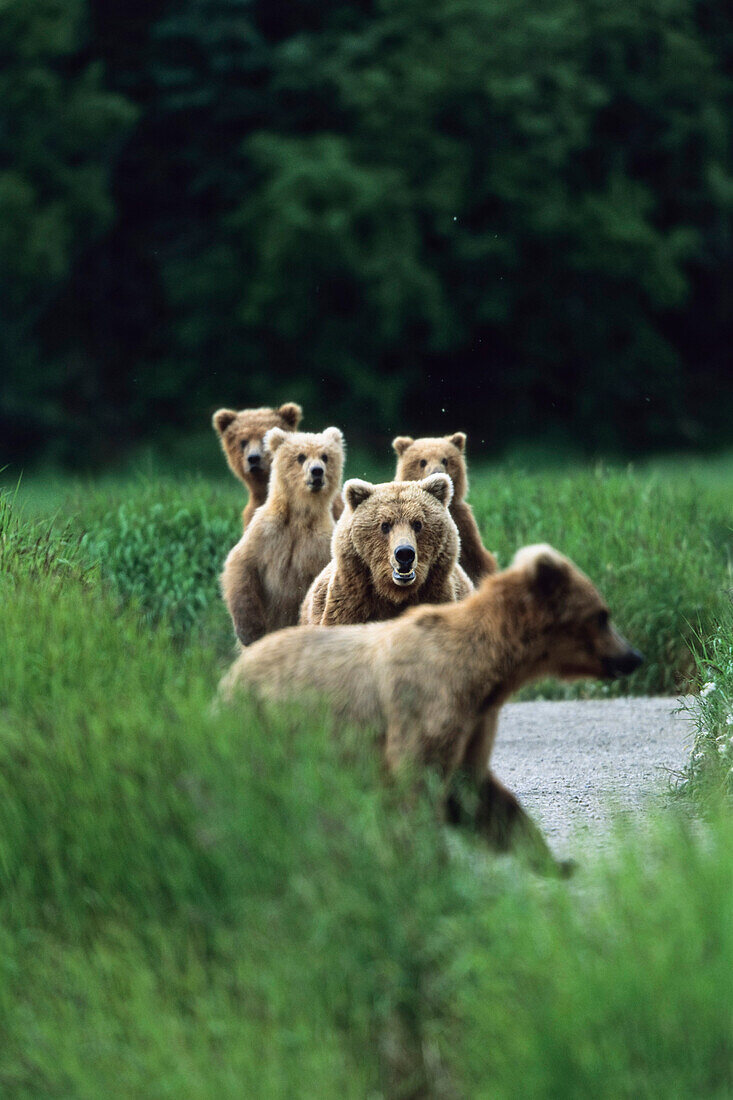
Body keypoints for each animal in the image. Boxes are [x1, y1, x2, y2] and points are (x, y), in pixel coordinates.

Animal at [220, 420, 343, 642]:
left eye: (325, 456)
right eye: (301, 456)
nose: (317, 472)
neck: (300, 516)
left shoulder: (320, 544)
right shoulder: (266, 532)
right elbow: (242, 564)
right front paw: (249, 630)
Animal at [221, 545, 638, 871]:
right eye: (603, 615)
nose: (634, 657)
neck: (483, 671)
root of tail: (230, 676)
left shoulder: (475, 718)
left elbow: (473, 791)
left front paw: (552, 859)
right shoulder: (427, 702)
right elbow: (418, 784)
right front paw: (426, 863)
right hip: (266, 725)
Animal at [299, 473, 473, 629]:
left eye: (417, 523)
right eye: (385, 525)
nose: (404, 553)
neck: (394, 592)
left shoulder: (436, 597)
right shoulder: (350, 605)